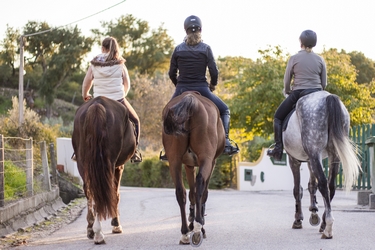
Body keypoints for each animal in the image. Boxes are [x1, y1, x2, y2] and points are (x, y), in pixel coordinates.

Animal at [71, 95, 136, 244]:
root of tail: (97, 104)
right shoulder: (119, 167)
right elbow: (116, 193)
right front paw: (116, 224)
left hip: (83, 163)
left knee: (90, 192)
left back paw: (92, 229)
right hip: (109, 164)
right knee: (107, 191)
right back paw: (99, 233)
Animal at [162, 91, 226, 246]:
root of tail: (191, 99)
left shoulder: (188, 164)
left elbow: (191, 192)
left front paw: (191, 222)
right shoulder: (212, 162)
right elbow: (202, 192)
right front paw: (198, 223)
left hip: (174, 160)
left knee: (181, 192)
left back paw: (185, 233)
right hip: (206, 159)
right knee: (201, 185)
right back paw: (198, 229)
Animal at [284, 91, 362, 239]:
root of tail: (327, 97)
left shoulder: (294, 160)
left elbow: (298, 189)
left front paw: (298, 219)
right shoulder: (310, 159)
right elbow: (311, 185)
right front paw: (314, 212)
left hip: (315, 151)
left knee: (323, 183)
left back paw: (328, 228)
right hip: (333, 154)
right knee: (331, 185)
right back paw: (324, 224)